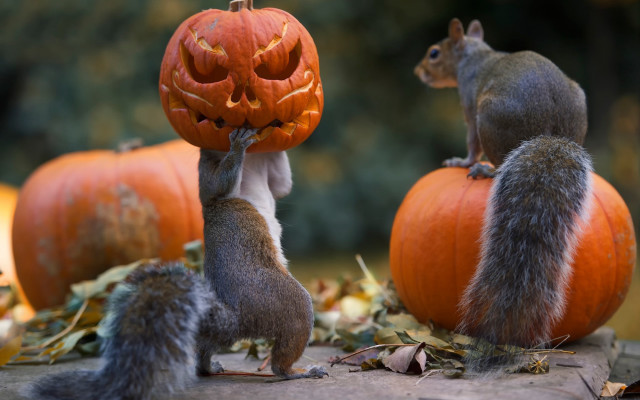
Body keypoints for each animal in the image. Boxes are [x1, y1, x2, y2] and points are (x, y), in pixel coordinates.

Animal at [28, 127, 327, 400]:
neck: (253, 163)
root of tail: (236, 317)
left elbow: (281, 184)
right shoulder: (207, 177)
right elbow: (217, 185)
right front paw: (238, 145)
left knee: (205, 350)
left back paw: (210, 366)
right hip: (288, 303)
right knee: (282, 359)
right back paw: (298, 371)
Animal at [414, 19, 594, 366]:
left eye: (434, 53)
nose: (418, 72)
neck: (475, 56)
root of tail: (552, 134)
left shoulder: (469, 104)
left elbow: (471, 142)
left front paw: (462, 160)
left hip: (489, 116)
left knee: (496, 160)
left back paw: (485, 170)